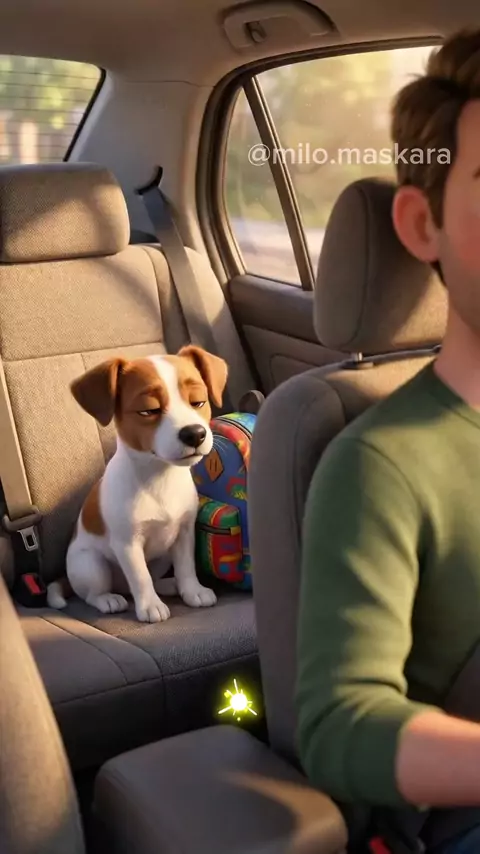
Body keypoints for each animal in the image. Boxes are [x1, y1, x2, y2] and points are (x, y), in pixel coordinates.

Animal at [47, 345, 227, 623]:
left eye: (198, 402)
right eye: (148, 410)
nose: (195, 434)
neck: (159, 477)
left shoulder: (184, 533)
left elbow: (186, 566)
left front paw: (192, 590)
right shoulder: (128, 544)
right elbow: (140, 578)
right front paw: (150, 606)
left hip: (162, 557)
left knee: (154, 576)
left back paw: (170, 585)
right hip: (92, 565)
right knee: (93, 593)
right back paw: (108, 599)